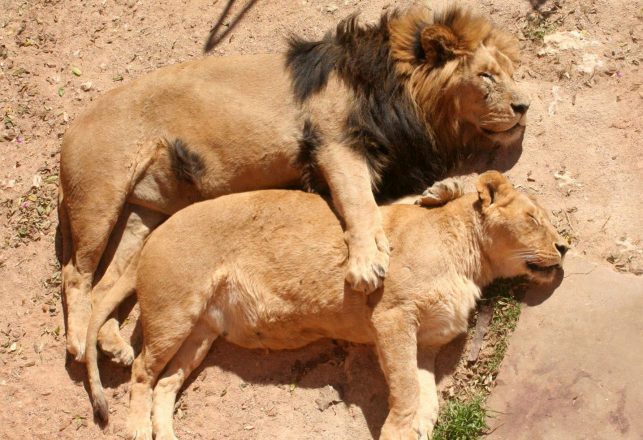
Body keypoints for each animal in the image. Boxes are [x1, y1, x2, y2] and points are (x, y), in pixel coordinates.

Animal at [59, 6, 528, 360]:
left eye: (510, 73)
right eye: (486, 76)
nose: (524, 106)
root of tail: (71, 127)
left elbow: (391, 204)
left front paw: (436, 195)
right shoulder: (333, 143)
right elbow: (359, 203)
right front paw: (366, 264)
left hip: (146, 215)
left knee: (108, 284)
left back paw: (111, 343)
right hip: (99, 198)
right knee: (75, 274)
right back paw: (79, 342)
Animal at [84, 170, 564, 438]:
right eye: (534, 219)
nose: (564, 247)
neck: (472, 263)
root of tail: (156, 231)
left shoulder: (426, 343)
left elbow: (428, 400)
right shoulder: (392, 317)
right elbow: (407, 392)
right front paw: (397, 431)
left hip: (202, 333)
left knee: (165, 383)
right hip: (174, 312)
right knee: (141, 371)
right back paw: (138, 428)